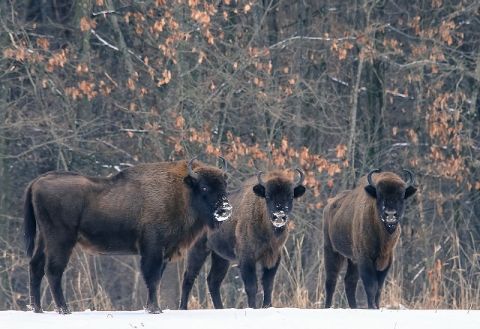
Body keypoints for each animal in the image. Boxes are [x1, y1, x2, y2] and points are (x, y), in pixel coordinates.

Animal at [23, 158, 232, 314]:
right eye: (204, 187)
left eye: (224, 185)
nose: (225, 209)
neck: (181, 191)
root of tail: (37, 181)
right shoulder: (153, 249)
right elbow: (153, 278)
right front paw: (155, 309)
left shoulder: (163, 252)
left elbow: (156, 278)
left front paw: (151, 308)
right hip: (60, 240)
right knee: (53, 270)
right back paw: (64, 310)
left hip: (44, 239)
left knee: (36, 266)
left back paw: (37, 309)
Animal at [178, 168, 306, 308]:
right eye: (268, 196)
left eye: (291, 196)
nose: (279, 216)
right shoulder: (246, 258)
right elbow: (252, 287)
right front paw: (253, 307)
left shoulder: (273, 257)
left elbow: (268, 285)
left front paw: (267, 306)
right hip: (198, 250)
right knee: (189, 277)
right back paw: (183, 307)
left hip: (221, 257)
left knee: (213, 281)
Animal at [322, 168, 416, 308]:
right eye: (380, 195)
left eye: (401, 196)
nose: (390, 214)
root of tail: (329, 205)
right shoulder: (365, 259)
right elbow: (371, 286)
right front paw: (372, 307)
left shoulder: (386, 261)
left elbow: (379, 288)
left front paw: (376, 306)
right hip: (332, 251)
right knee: (331, 281)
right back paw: (327, 306)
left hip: (352, 260)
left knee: (349, 282)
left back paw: (354, 307)